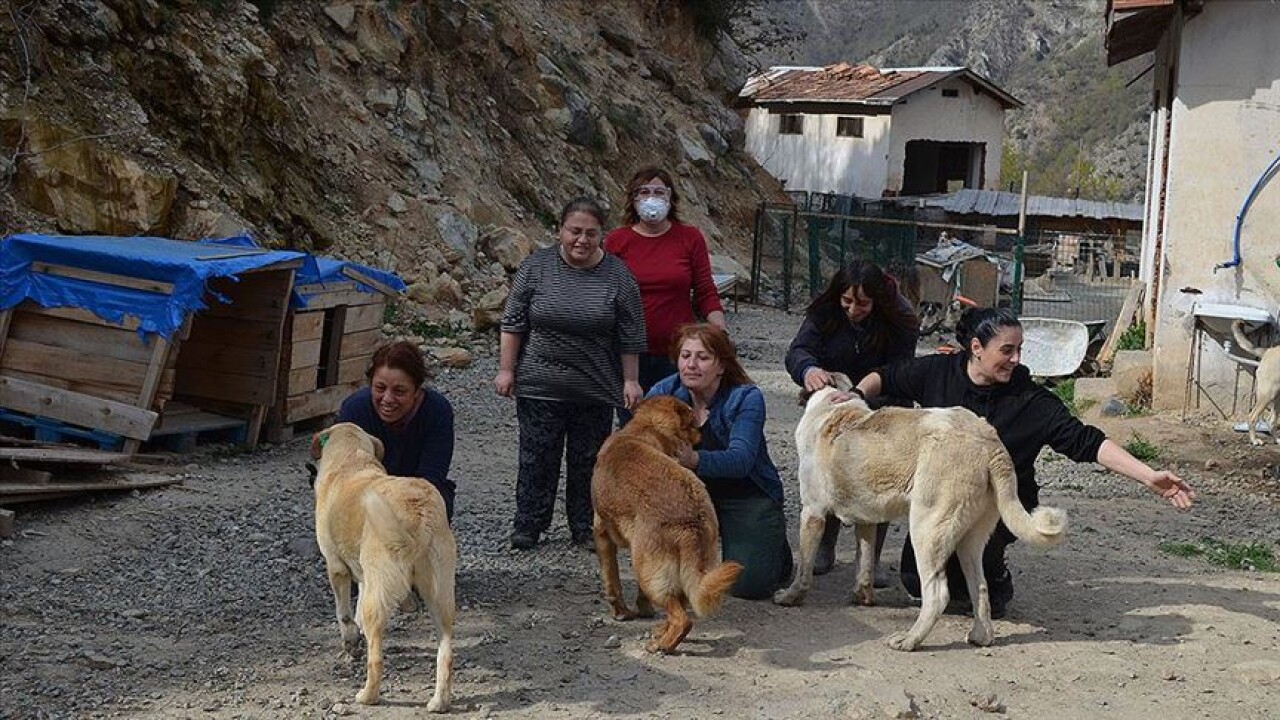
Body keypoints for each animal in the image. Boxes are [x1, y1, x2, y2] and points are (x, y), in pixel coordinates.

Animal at [309, 420, 455, 707]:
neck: (351, 458)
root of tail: (418, 514)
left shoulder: (336, 567)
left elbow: (344, 614)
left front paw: (350, 642)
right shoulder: (365, 578)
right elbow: (355, 614)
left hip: (379, 602)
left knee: (376, 659)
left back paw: (367, 696)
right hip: (440, 598)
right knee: (446, 653)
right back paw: (439, 702)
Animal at [593, 394, 747, 653]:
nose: (702, 426)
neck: (644, 428)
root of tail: (689, 520)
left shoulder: (601, 532)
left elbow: (612, 580)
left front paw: (621, 613)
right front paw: (644, 611)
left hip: (644, 568)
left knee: (681, 618)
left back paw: (662, 645)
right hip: (684, 568)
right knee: (680, 605)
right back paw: (661, 633)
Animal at [773, 371, 1064, 648]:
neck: (831, 407)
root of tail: (988, 442)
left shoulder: (812, 513)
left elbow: (804, 569)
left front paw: (790, 597)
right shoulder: (866, 522)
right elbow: (864, 564)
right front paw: (863, 597)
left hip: (925, 531)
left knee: (937, 594)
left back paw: (909, 640)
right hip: (969, 540)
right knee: (980, 586)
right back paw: (980, 636)